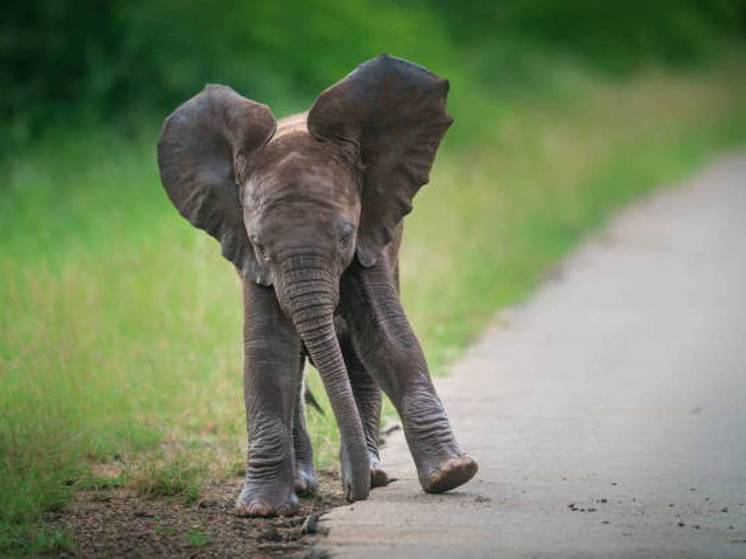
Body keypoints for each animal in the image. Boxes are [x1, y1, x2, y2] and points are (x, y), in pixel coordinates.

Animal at [157, 54, 476, 520]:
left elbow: (387, 337)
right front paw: (262, 510)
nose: (352, 495)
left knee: (354, 354)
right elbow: (269, 351)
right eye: (260, 245)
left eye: (345, 236)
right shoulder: (248, 257)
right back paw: (304, 484)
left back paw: (372, 472)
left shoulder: (370, 239)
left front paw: (452, 475)